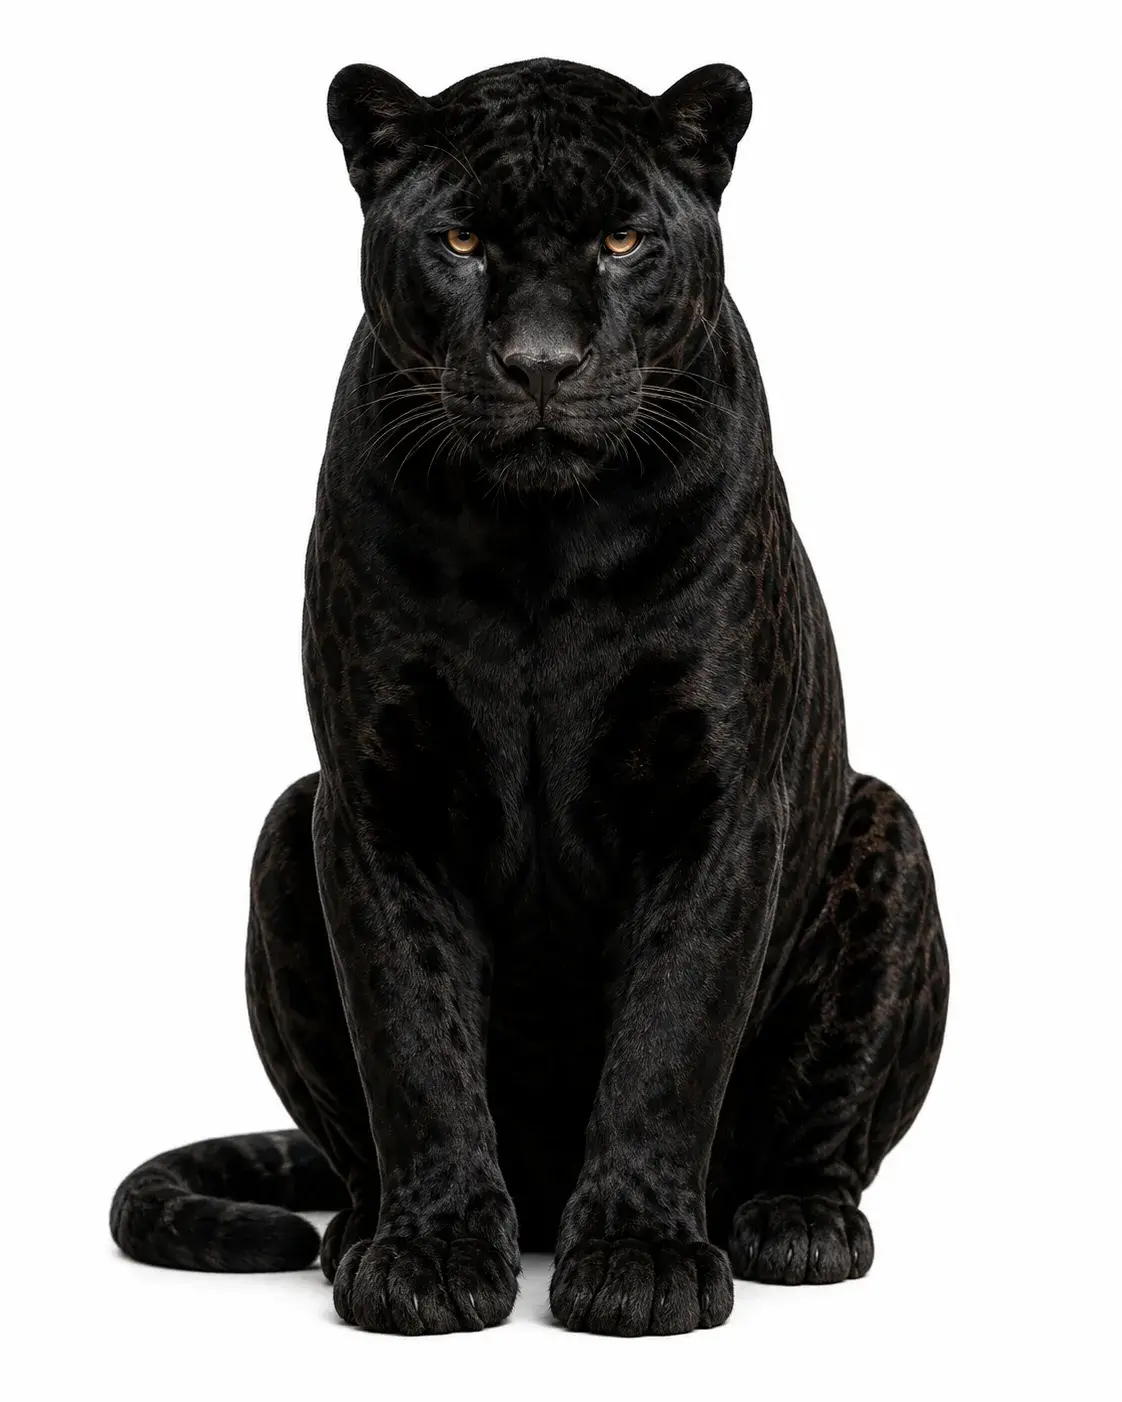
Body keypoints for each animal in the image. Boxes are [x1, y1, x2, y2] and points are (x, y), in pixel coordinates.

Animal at [110, 57, 949, 1338]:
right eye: (461, 240)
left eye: (621, 240)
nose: (542, 364)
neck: (540, 546)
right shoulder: (380, 800)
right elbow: (413, 1041)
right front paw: (431, 1255)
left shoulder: (714, 804)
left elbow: (669, 1037)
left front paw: (643, 1261)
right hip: (284, 831)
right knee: (352, 1137)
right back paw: (358, 1229)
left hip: (886, 828)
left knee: (824, 1132)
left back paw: (797, 1225)